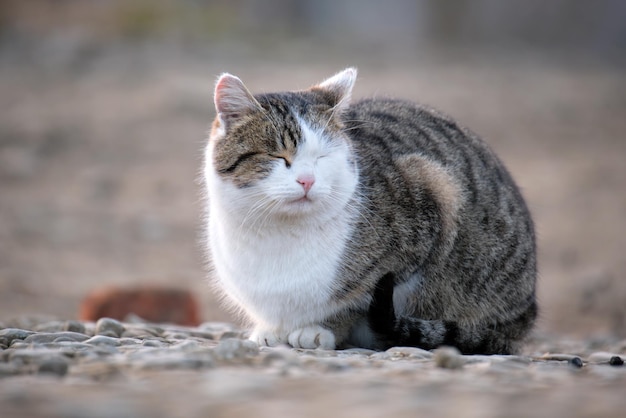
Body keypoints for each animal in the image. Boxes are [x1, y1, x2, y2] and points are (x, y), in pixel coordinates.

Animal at [202, 68, 532, 352]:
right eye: (278, 156)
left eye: (323, 157)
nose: (308, 180)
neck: (280, 231)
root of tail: (525, 314)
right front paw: (270, 330)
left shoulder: (433, 198)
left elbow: (358, 300)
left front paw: (321, 328)